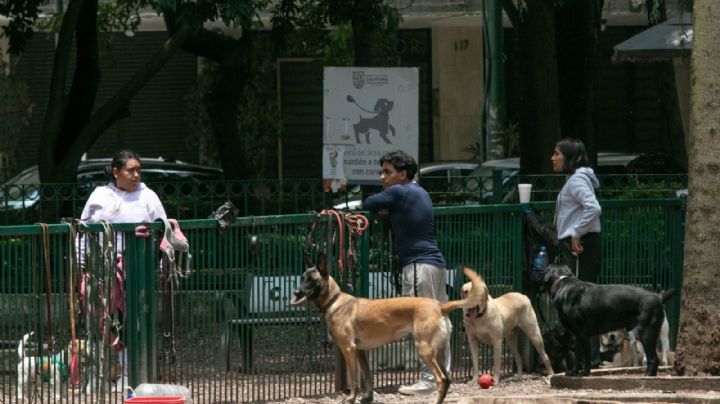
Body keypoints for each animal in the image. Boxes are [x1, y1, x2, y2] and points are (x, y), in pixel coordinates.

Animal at [290, 251, 486, 402]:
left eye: (312, 280)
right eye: (302, 278)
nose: (296, 292)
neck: (334, 300)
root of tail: (440, 305)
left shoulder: (348, 349)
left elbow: (353, 380)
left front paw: (351, 398)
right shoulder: (360, 352)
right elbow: (368, 379)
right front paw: (367, 398)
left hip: (424, 350)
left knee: (441, 379)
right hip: (436, 352)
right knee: (447, 378)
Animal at [544, 264, 676, 378]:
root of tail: (658, 296)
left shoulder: (582, 334)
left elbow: (584, 357)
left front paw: (583, 373)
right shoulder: (578, 336)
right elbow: (580, 357)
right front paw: (576, 372)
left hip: (647, 333)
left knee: (653, 358)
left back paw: (648, 375)